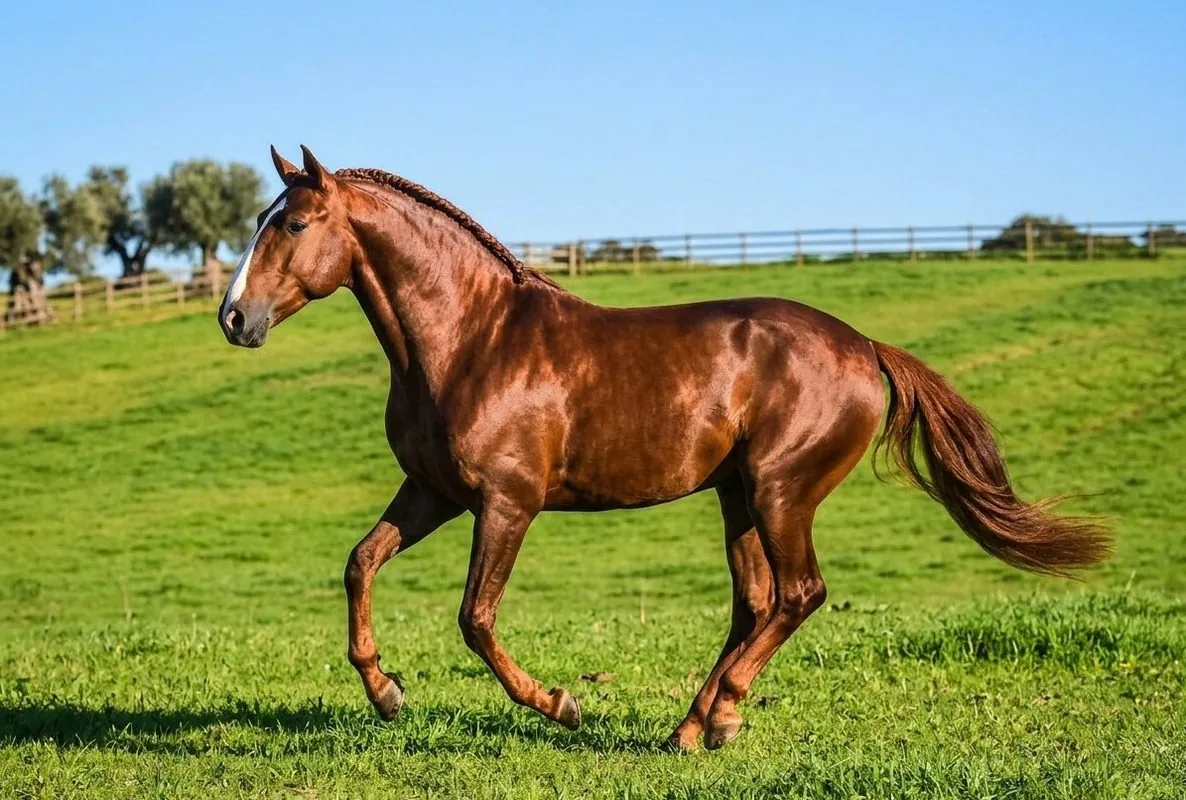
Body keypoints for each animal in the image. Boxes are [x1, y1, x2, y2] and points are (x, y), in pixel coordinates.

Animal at [217, 145, 1110, 751]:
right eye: (260, 219)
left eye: (292, 223)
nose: (233, 318)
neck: (472, 340)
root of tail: (864, 348)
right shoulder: (433, 492)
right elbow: (360, 565)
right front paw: (387, 693)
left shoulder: (508, 502)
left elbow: (475, 618)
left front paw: (562, 704)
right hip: (738, 496)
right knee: (755, 603)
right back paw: (693, 726)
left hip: (781, 491)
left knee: (799, 595)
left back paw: (719, 714)